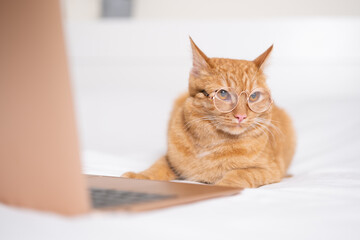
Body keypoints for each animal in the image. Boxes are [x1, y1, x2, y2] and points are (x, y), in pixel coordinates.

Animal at [121, 38, 296, 188]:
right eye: (223, 94)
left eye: (253, 96)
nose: (241, 116)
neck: (212, 143)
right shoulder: (170, 159)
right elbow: (157, 167)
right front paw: (139, 176)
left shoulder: (270, 170)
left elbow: (240, 174)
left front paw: (222, 186)